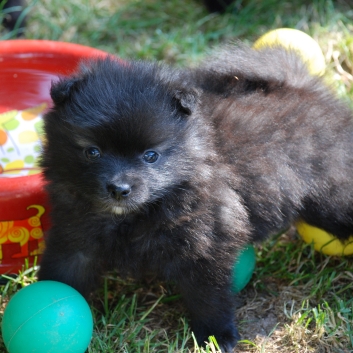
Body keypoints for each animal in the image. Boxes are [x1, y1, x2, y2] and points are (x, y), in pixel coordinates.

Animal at [37, 44, 352, 350]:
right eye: (93, 152)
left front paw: (216, 336)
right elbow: (62, 273)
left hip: (329, 197)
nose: (119, 188)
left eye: (151, 156)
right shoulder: (75, 235)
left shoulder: (205, 244)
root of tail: (306, 89)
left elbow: (208, 297)